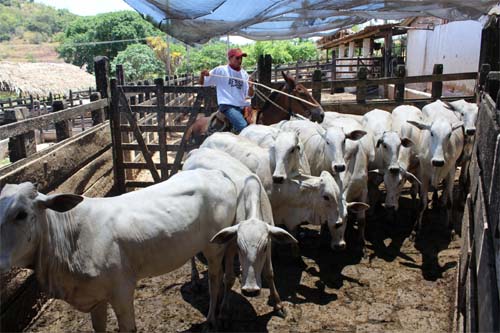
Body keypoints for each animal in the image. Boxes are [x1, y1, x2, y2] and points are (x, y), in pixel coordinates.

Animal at [0, 167, 280, 330]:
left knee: (214, 279)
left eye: (21, 214)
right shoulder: (95, 298)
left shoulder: (122, 291)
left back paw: (211, 319)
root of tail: (219, 174)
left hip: (213, 248)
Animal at [406, 100, 464, 237]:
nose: (438, 162)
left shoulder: (451, 172)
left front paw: (451, 227)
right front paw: (415, 229)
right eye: (431, 133)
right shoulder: (424, 174)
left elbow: (449, 203)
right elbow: (422, 203)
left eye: (449, 134)